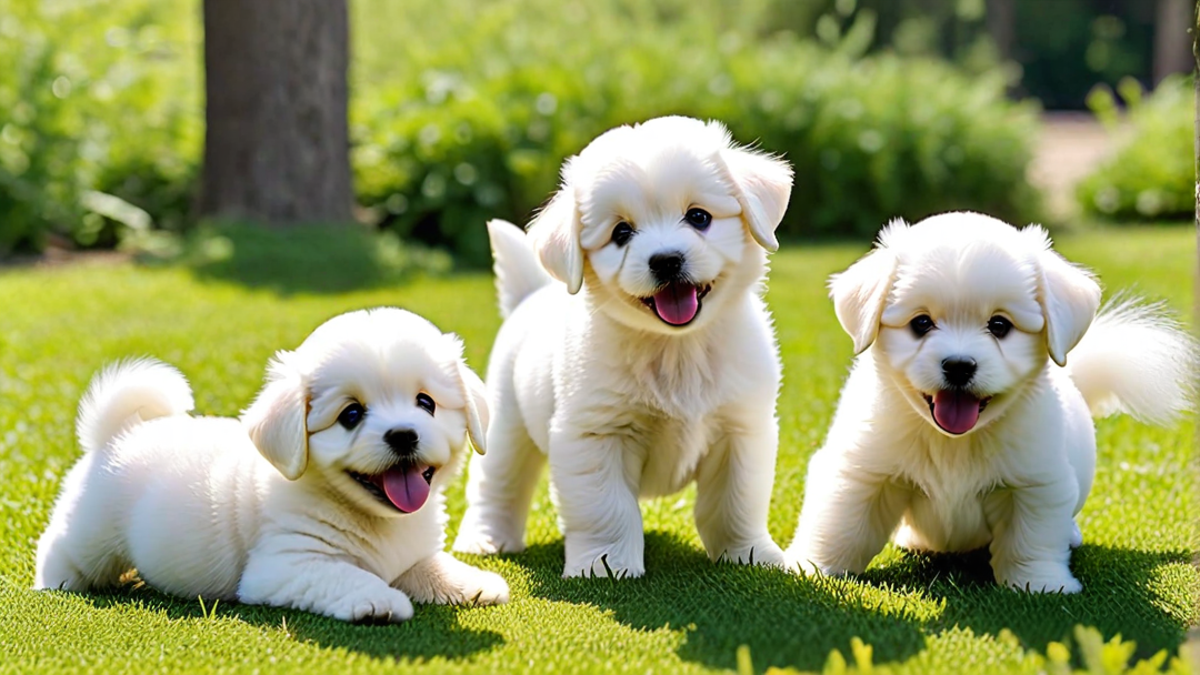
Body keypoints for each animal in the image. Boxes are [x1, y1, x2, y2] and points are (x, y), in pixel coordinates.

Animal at [35, 307, 506, 619]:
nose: (404, 434)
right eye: (351, 414)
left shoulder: (412, 558)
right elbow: (345, 575)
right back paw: (52, 583)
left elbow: (435, 568)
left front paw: (474, 583)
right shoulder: (285, 566)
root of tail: (118, 430)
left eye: (426, 403)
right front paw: (380, 600)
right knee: (60, 551)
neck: (376, 519)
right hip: (91, 536)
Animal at [451, 117, 796, 578]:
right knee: (498, 483)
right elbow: (607, 509)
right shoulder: (595, 434)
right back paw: (486, 538)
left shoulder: (740, 430)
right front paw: (605, 566)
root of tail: (529, 295)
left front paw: (752, 556)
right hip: (506, 424)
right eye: (621, 233)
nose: (666, 260)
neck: (676, 349)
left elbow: (735, 504)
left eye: (699, 217)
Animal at [782, 212, 1195, 590]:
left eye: (999, 325)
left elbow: (1031, 541)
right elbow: (840, 526)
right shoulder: (861, 470)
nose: (959, 365)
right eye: (921, 323)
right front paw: (812, 568)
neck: (952, 444)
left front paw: (1041, 585)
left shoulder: (1035, 484)